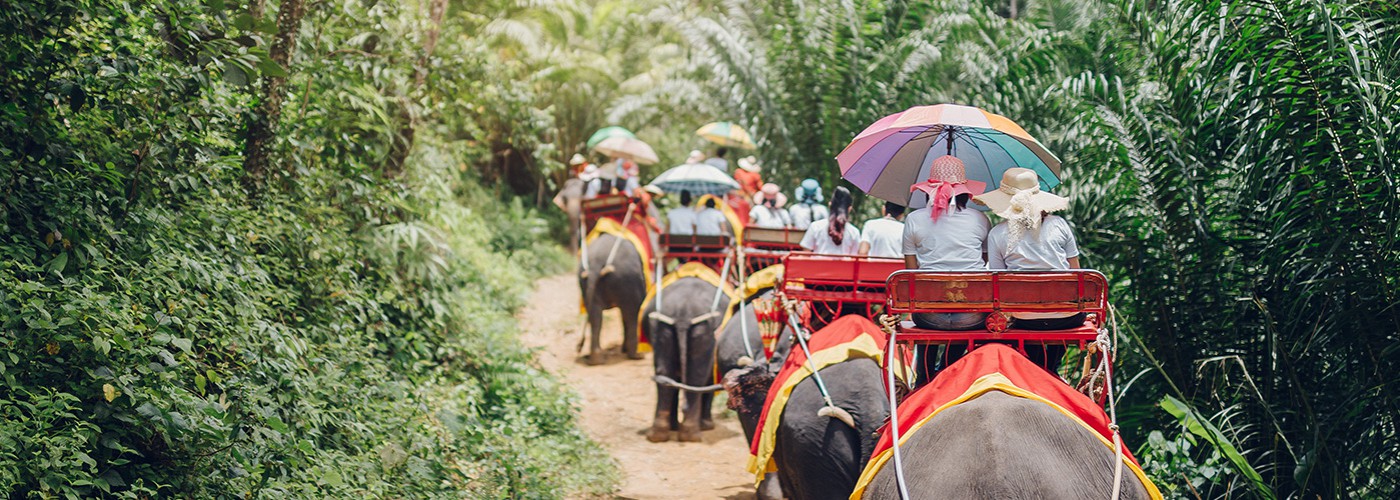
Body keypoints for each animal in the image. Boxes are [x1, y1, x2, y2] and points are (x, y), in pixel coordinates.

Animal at [576, 231, 646, 364]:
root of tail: (596, 263)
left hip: (586, 282)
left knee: (596, 317)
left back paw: (596, 360)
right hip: (627, 279)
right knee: (632, 313)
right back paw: (637, 356)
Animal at [641, 274, 733, 442]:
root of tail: (683, 313)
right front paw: (707, 426)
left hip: (662, 329)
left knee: (665, 374)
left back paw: (658, 434)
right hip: (704, 332)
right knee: (696, 377)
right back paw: (691, 435)